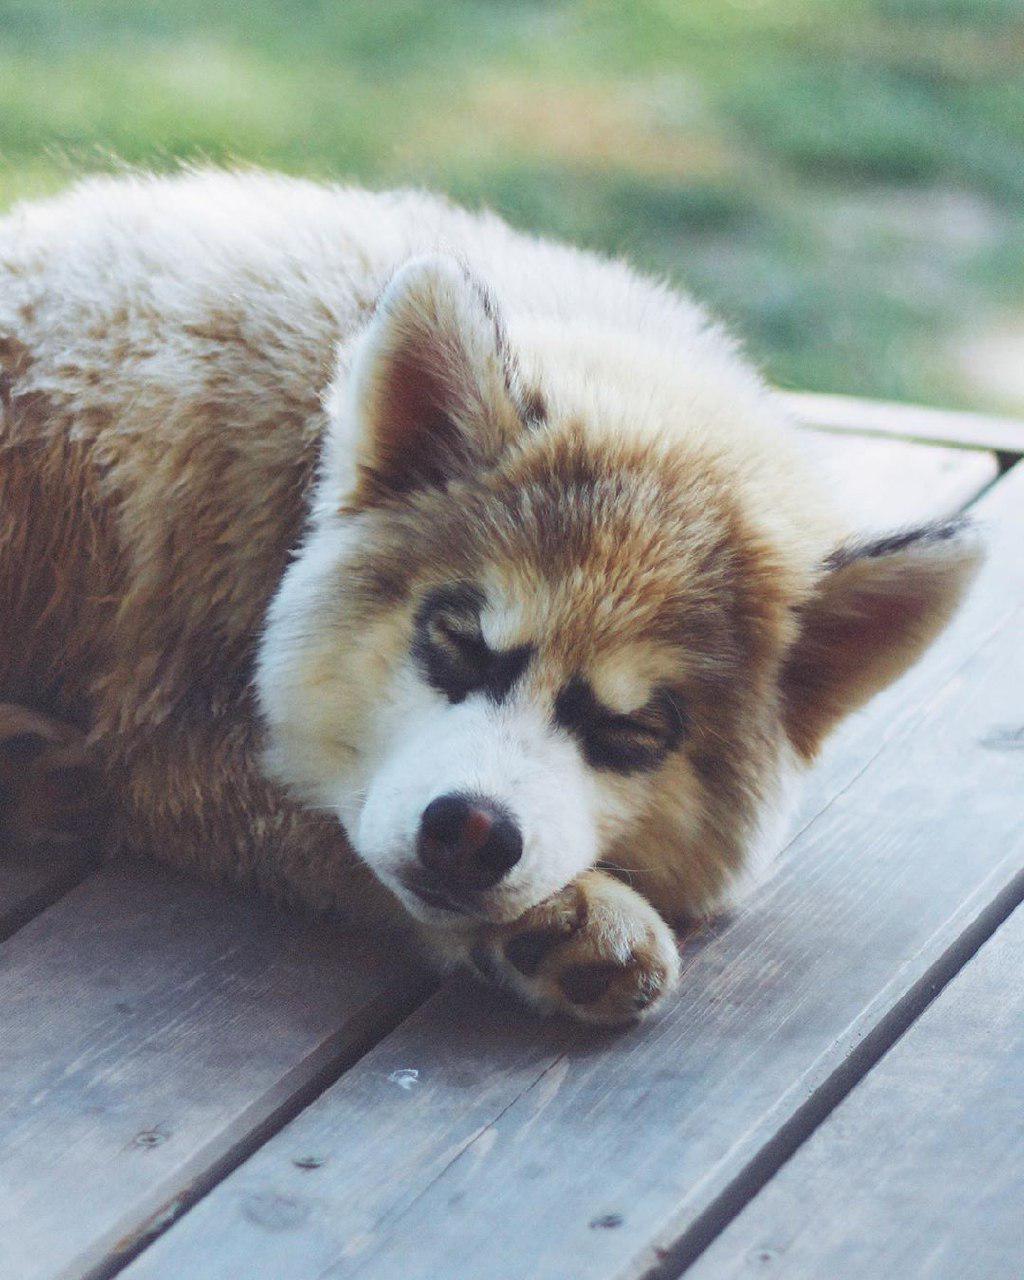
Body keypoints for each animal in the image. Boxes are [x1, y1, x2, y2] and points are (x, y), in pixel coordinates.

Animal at [0, 175, 977, 1024]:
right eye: (459, 640)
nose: (470, 832)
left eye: (633, 732)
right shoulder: (173, 741)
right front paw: (574, 915)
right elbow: (321, 824)